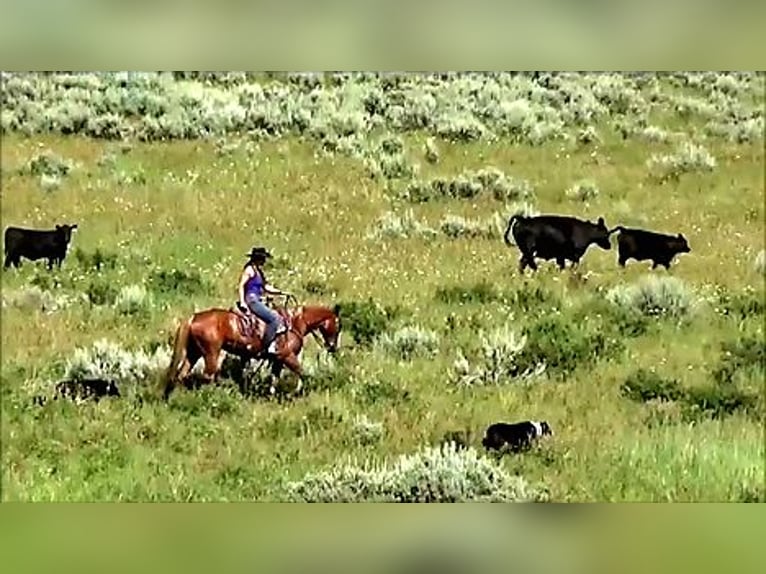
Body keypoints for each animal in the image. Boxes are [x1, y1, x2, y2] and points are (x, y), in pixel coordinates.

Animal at [164, 302, 344, 400]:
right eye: (338, 325)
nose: (332, 346)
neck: (295, 323)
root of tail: (194, 317)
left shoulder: (277, 360)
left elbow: (274, 378)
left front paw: (271, 396)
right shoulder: (286, 355)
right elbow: (301, 372)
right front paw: (296, 391)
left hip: (194, 353)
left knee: (182, 374)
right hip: (211, 353)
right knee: (208, 375)